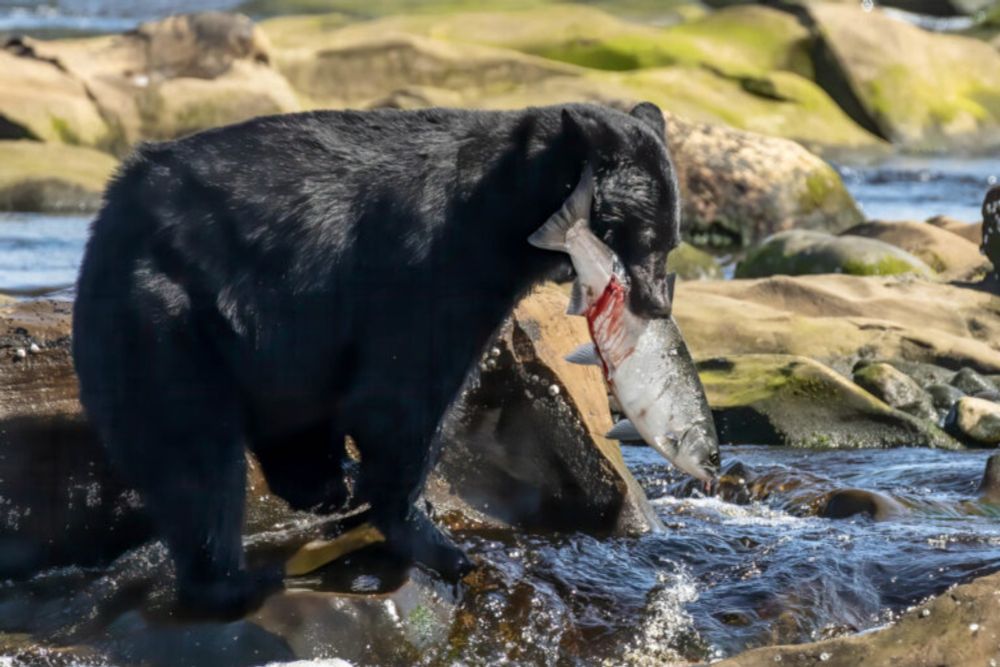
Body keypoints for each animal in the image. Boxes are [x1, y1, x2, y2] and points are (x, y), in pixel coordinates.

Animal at [74, 102, 684, 620]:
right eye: (641, 235)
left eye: (672, 241)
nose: (655, 303)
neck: (505, 209)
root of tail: (107, 216)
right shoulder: (432, 263)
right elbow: (401, 397)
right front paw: (434, 540)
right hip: (167, 323)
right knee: (195, 458)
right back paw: (235, 582)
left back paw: (325, 487)